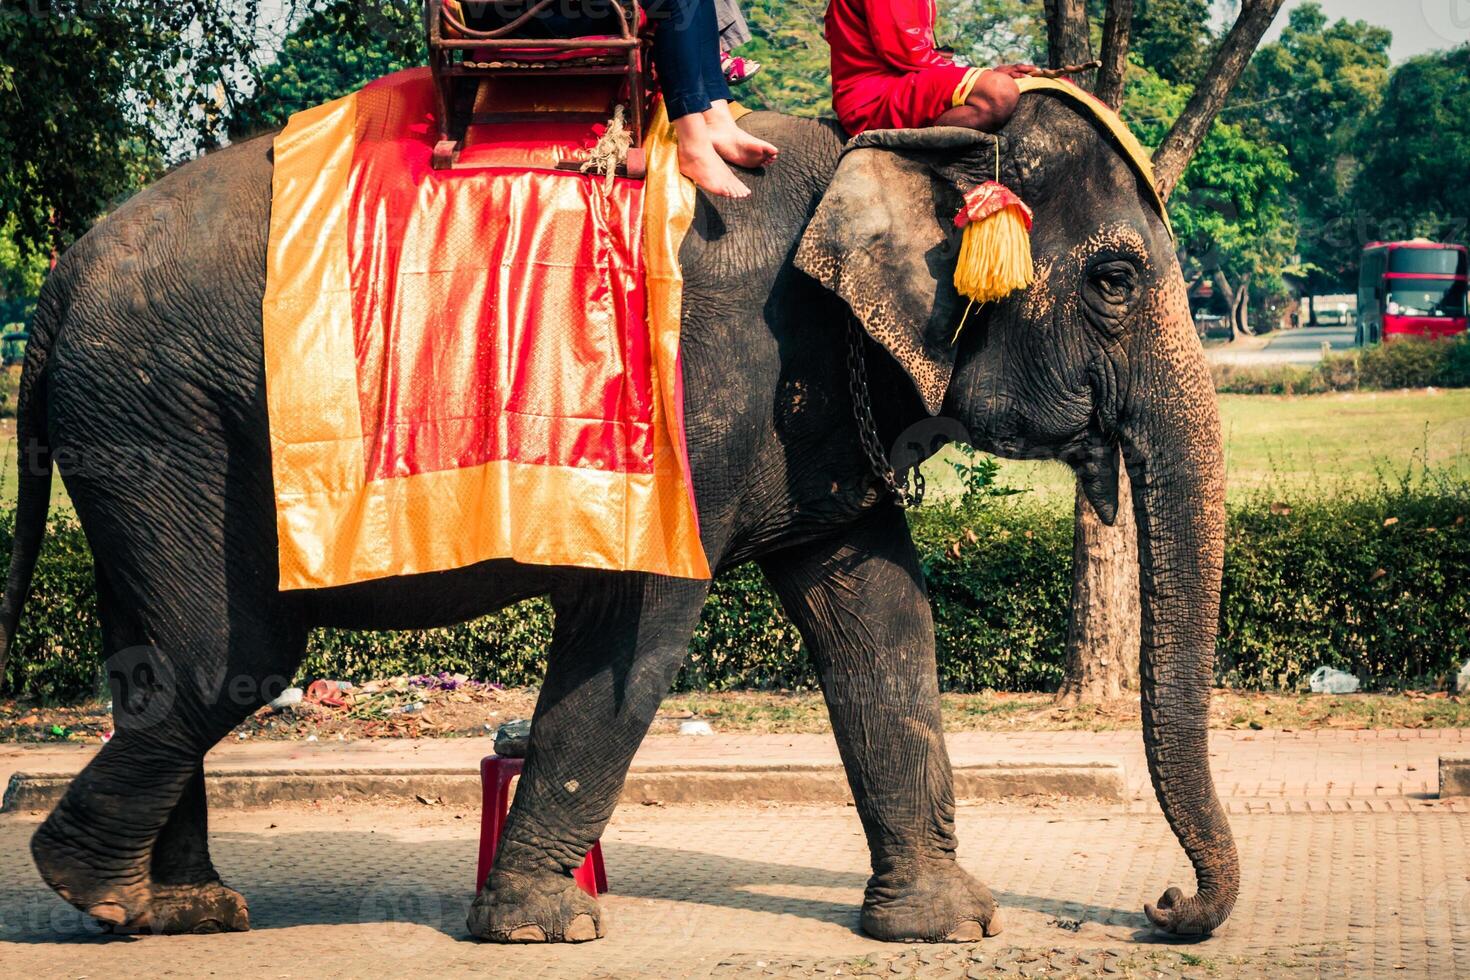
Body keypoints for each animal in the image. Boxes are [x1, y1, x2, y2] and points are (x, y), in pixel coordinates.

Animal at [0, 89, 1234, 940]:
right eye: (1116, 281)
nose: (1163, 907)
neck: (886, 146)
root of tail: (52, 289)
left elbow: (881, 615)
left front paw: (946, 925)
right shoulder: (699, 395)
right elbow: (641, 618)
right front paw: (545, 927)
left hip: (137, 435)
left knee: (155, 645)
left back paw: (177, 907)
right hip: (168, 421)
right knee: (231, 652)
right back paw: (95, 891)